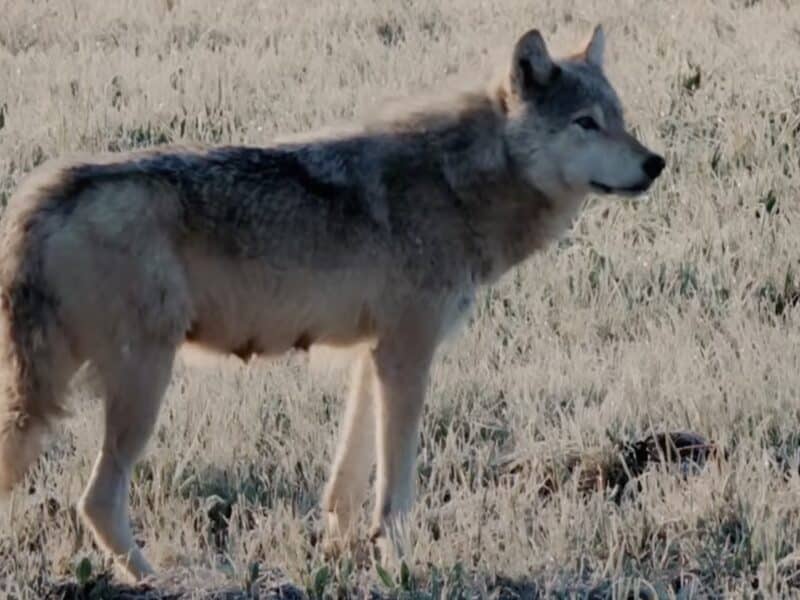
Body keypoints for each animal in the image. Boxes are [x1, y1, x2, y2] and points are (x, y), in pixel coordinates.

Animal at [0, 24, 664, 581]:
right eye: (585, 123)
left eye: (619, 118)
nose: (655, 163)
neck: (459, 186)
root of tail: (41, 196)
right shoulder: (407, 354)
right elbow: (396, 488)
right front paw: (401, 564)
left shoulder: (373, 354)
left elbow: (346, 481)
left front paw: (346, 552)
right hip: (140, 384)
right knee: (97, 500)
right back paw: (162, 581)